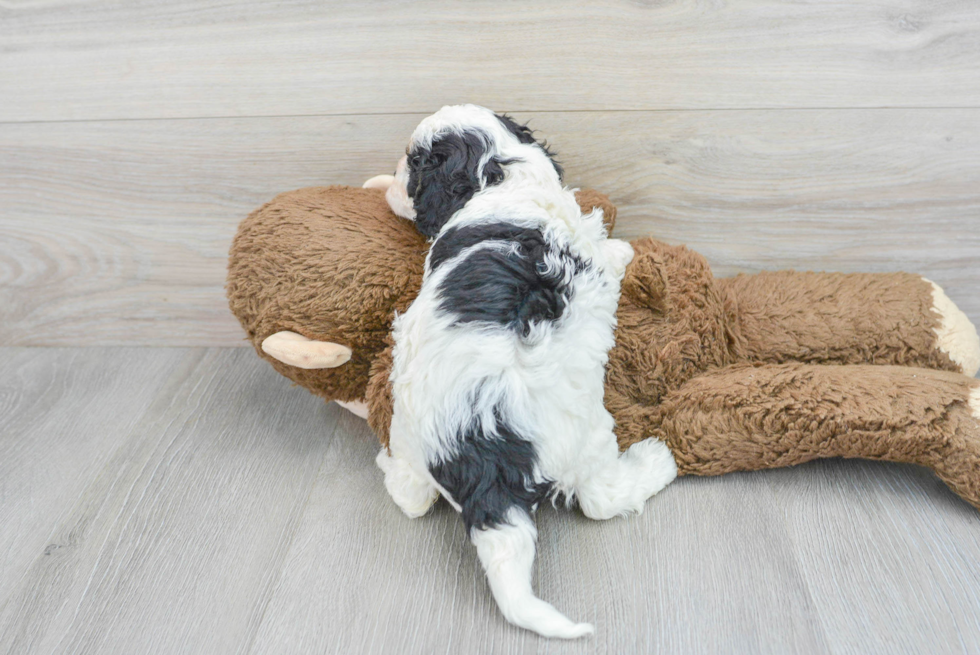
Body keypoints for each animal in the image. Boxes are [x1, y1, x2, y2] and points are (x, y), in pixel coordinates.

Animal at [376, 106, 672, 640]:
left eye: (413, 164)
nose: (391, 177)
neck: (502, 173)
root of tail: (480, 450)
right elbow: (608, 253)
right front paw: (624, 252)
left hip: (408, 426)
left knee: (410, 495)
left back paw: (390, 467)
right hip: (586, 434)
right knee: (600, 497)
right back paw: (656, 461)